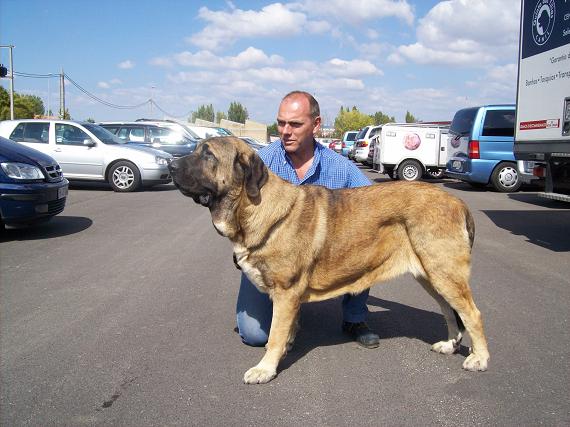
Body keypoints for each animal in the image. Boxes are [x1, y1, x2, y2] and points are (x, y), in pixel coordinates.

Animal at [168, 136, 488, 384]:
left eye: (208, 154)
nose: (170, 165)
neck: (253, 207)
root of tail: (459, 202)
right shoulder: (288, 297)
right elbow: (285, 329)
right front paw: (287, 346)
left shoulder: (285, 292)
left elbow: (273, 335)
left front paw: (265, 369)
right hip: (431, 276)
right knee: (450, 311)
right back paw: (449, 345)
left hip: (444, 272)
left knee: (472, 314)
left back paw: (479, 359)